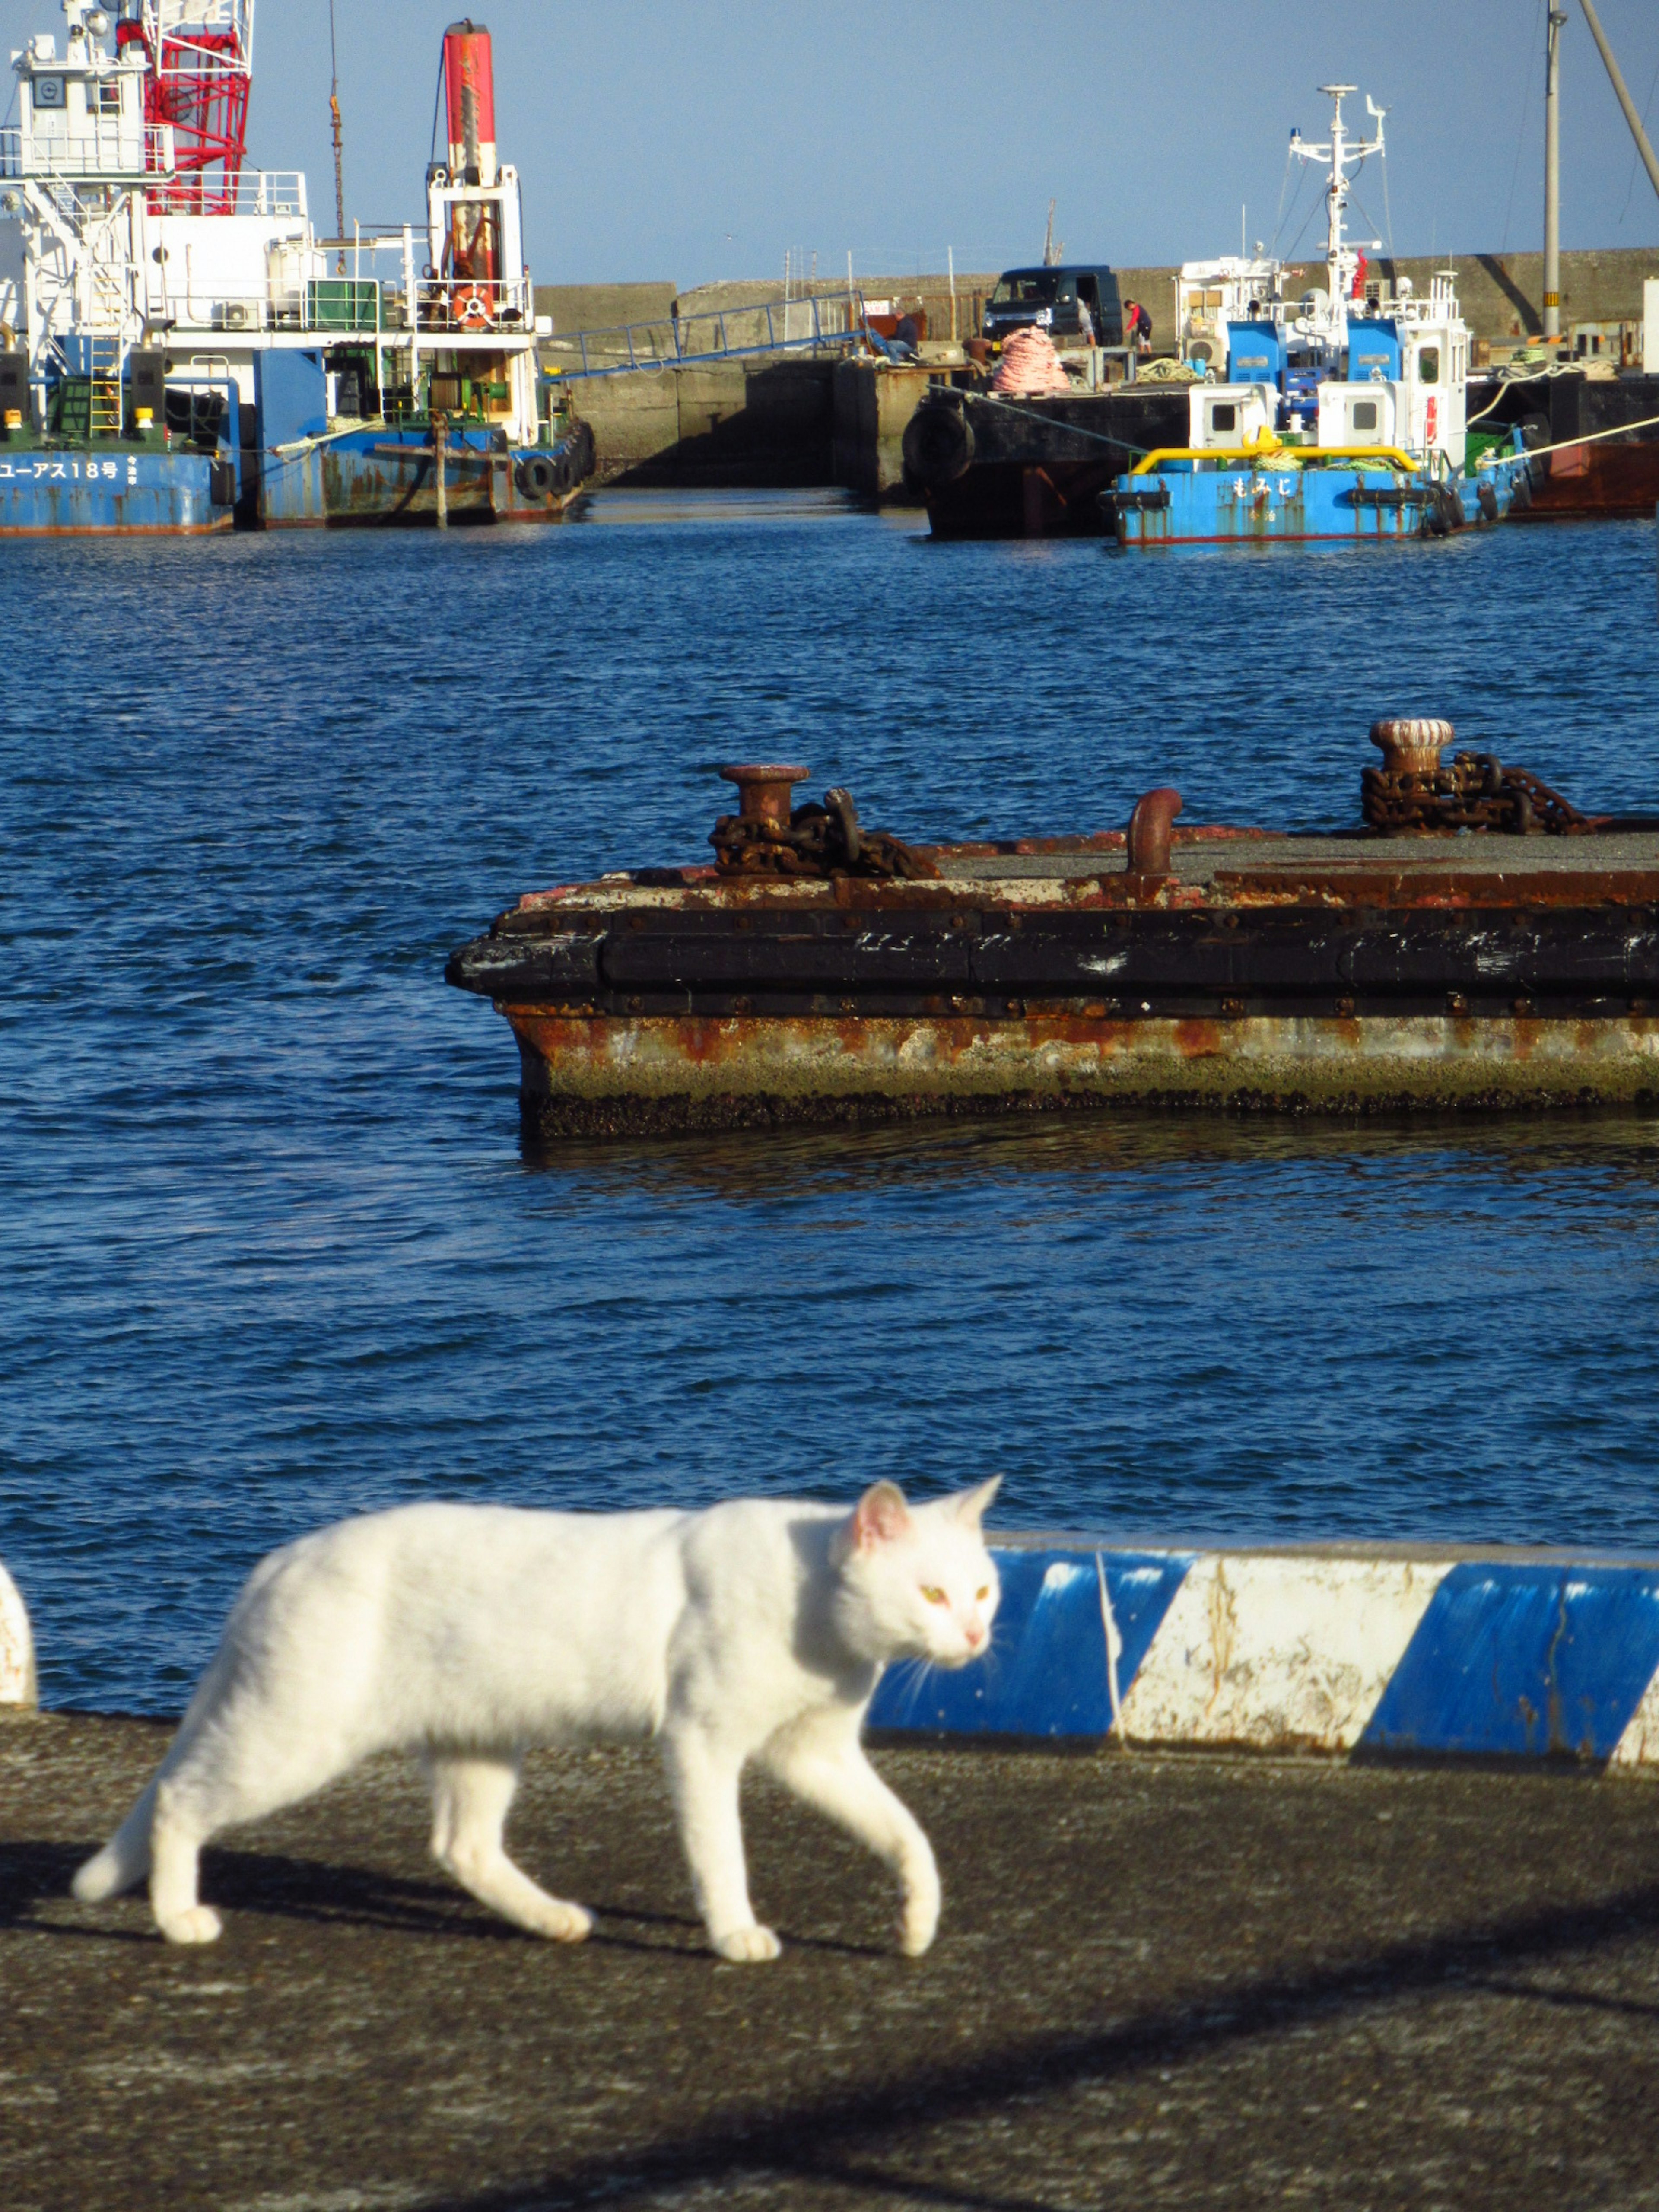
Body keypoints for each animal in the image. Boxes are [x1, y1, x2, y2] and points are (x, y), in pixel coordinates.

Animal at [74, 1478, 1000, 1964]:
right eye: (932, 1594)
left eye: (984, 1589)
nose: (977, 1635)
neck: (819, 1615)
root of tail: (277, 1560)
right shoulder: (701, 1743)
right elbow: (721, 1854)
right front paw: (735, 1932)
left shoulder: (816, 1754)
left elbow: (908, 1835)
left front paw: (918, 1923)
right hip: (296, 1736)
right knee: (179, 1800)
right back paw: (177, 1918)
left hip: (476, 1741)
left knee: (462, 1848)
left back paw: (553, 1919)